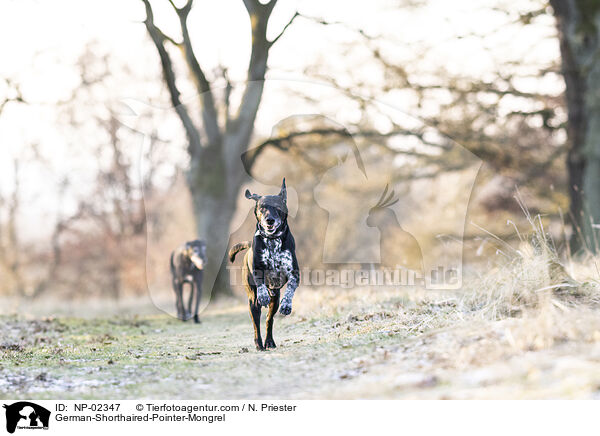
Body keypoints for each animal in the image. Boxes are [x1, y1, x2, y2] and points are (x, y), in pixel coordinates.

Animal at [229, 179, 298, 350]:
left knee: (268, 320)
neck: (272, 240)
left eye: (278, 207)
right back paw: (258, 343)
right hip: (252, 302)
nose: (269, 220)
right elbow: (260, 281)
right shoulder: (257, 271)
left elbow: (291, 287)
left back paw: (269, 341)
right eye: (262, 207)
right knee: (256, 323)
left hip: (275, 299)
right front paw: (263, 294)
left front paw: (287, 305)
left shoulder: (294, 273)